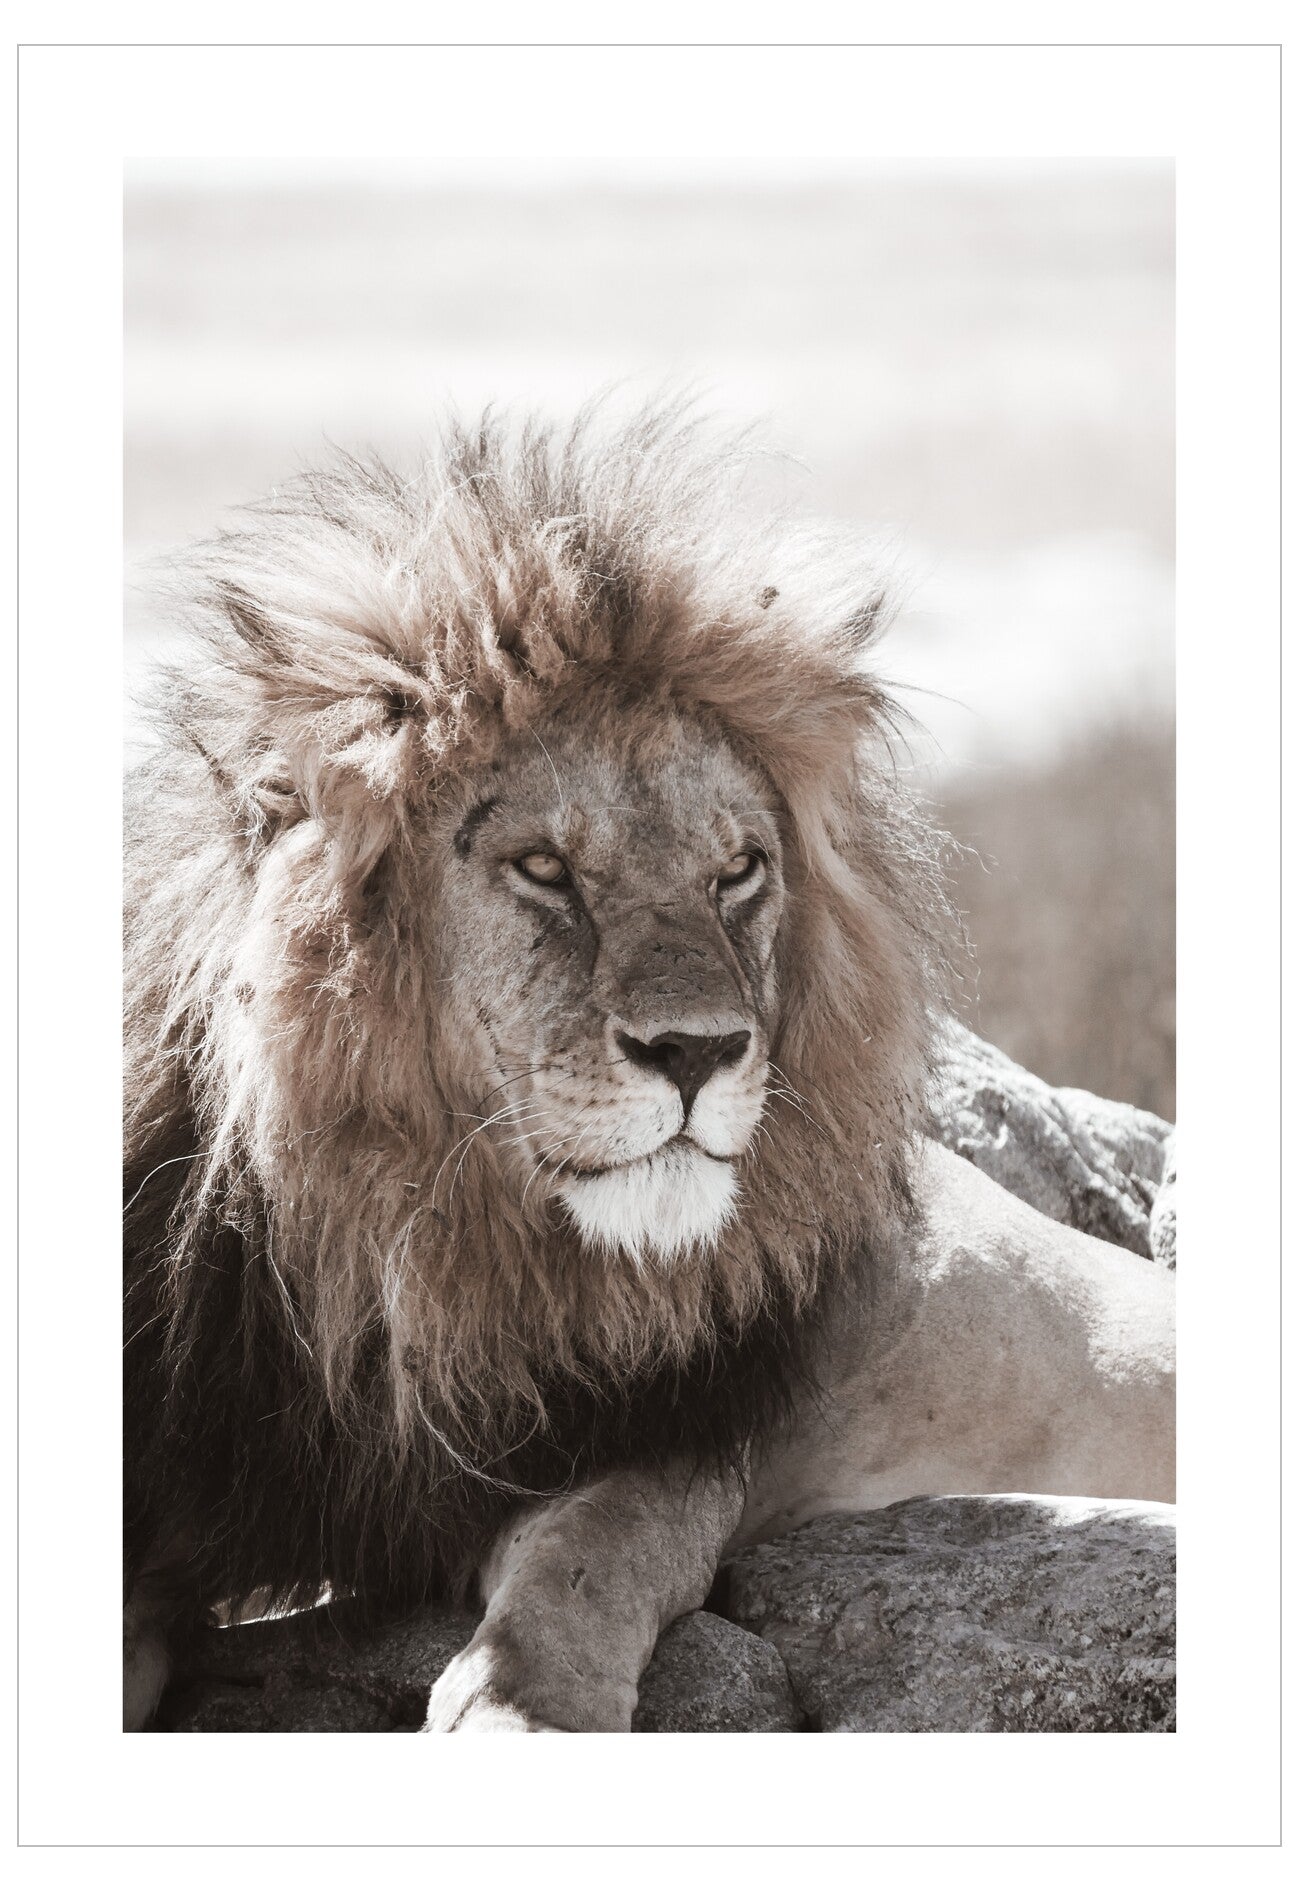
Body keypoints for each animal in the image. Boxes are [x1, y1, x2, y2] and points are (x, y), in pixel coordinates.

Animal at [123, 403, 1174, 1732]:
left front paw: (523, 1711)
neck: (411, 1256)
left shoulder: (674, 1432)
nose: (699, 1050)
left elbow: (595, 1553)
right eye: (543, 868)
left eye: (738, 871)